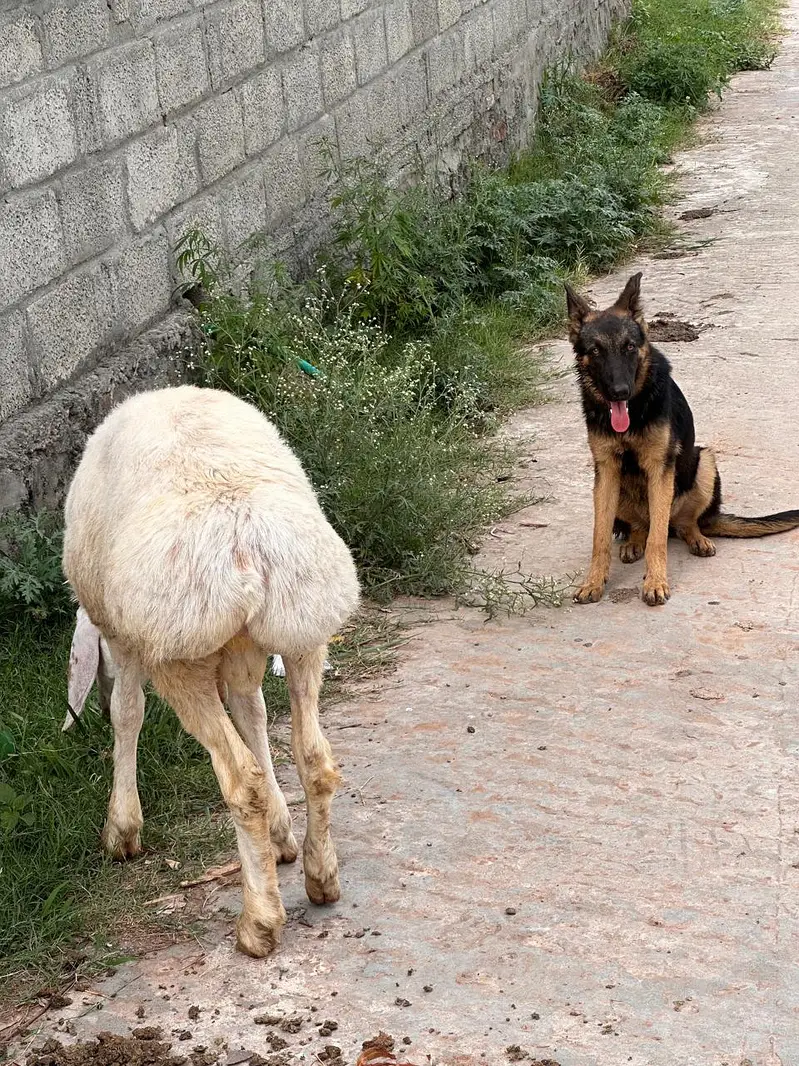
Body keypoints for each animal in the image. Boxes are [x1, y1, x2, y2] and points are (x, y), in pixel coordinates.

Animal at [62, 384, 360, 958]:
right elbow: (255, 715)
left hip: (178, 654)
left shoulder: (128, 640)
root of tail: (246, 540)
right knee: (314, 757)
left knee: (241, 781)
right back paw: (321, 876)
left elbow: (127, 713)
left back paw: (259, 922)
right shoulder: (243, 651)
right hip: (304, 624)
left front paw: (122, 829)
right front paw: (281, 836)